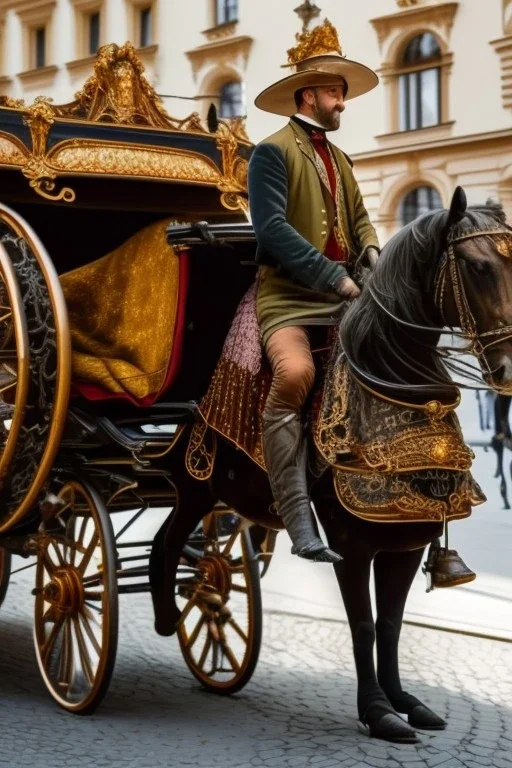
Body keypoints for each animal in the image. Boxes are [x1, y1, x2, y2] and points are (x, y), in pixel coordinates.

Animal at [150, 188, 512, 744]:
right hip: (195, 486)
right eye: (476, 266)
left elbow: (391, 625)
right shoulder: (351, 542)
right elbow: (363, 625)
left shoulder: (408, 538)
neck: (393, 392)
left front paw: (407, 703)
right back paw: (168, 617)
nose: (510, 369)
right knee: (163, 544)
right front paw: (378, 711)